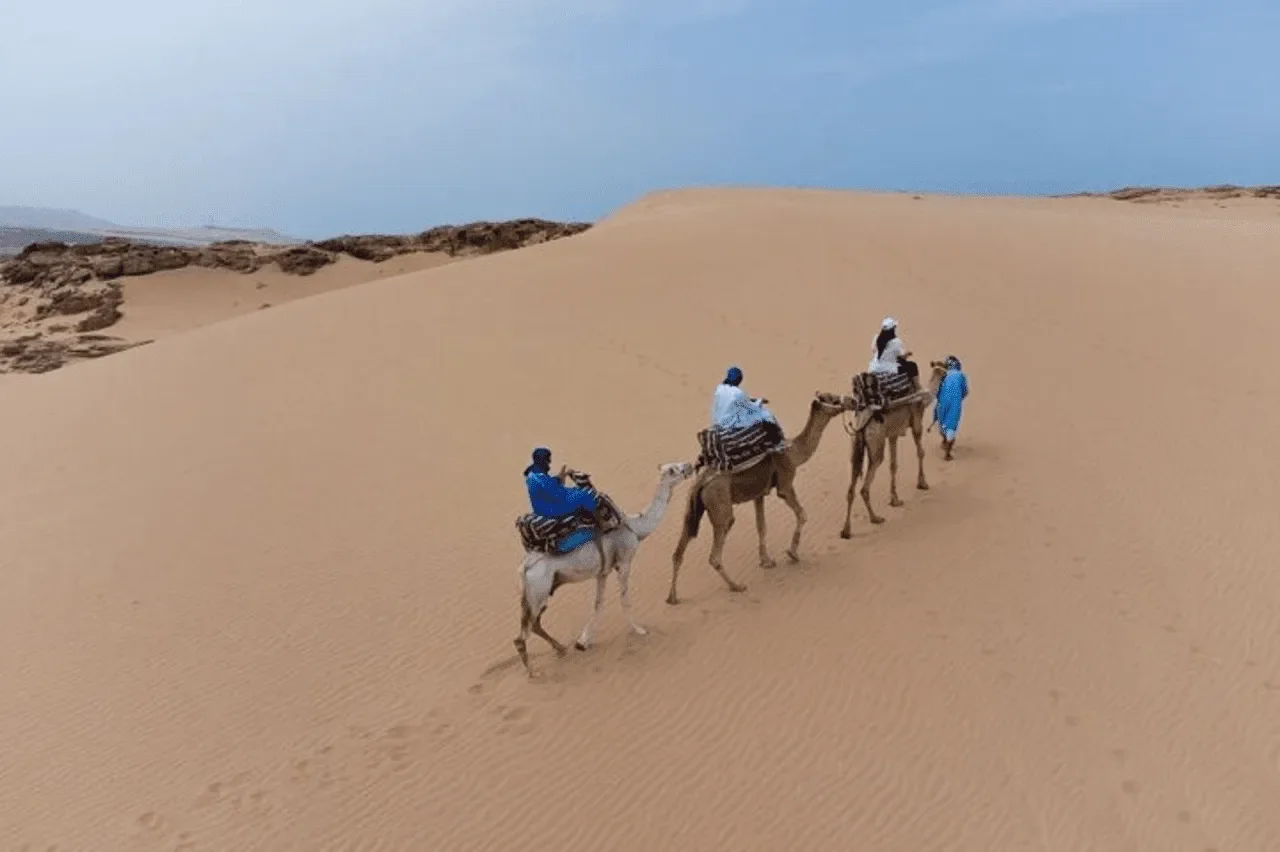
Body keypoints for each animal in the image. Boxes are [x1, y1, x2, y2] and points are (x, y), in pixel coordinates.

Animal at [514, 461, 695, 676]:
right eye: (673, 469)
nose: (689, 466)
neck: (636, 527)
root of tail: (524, 568)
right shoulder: (624, 562)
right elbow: (624, 600)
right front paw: (639, 630)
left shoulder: (603, 571)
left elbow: (598, 604)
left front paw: (582, 642)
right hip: (539, 588)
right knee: (523, 634)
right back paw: (534, 673)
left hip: (541, 590)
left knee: (534, 624)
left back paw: (561, 649)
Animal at [666, 392, 851, 605]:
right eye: (832, 398)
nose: (851, 401)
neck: (794, 452)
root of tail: (701, 482)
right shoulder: (785, 482)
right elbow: (802, 514)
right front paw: (792, 554)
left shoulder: (759, 494)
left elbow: (761, 526)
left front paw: (766, 561)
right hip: (720, 504)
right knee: (716, 550)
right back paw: (736, 586)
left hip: (692, 507)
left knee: (679, 549)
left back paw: (672, 597)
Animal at [839, 361, 948, 538]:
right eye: (947, 366)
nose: (948, 374)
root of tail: (862, 422)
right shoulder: (916, 421)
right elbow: (920, 452)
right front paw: (922, 483)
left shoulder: (892, 434)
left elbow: (893, 465)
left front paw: (895, 499)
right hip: (876, 442)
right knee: (866, 484)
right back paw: (875, 518)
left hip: (856, 444)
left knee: (851, 486)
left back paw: (846, 531)